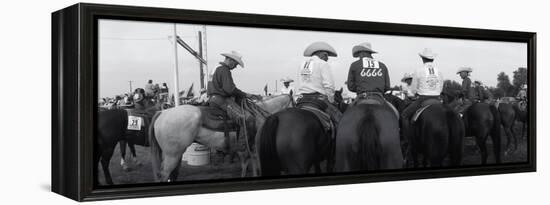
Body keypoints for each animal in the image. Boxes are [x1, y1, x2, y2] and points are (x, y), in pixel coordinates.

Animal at [147, 93, 294, 182]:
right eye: (295, 103)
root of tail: (162, 112)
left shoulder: (248, 149)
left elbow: (247, 164)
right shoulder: (254, 147)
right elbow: (255, 165)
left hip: (173, 154)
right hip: (172, 155)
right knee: (163, 175)